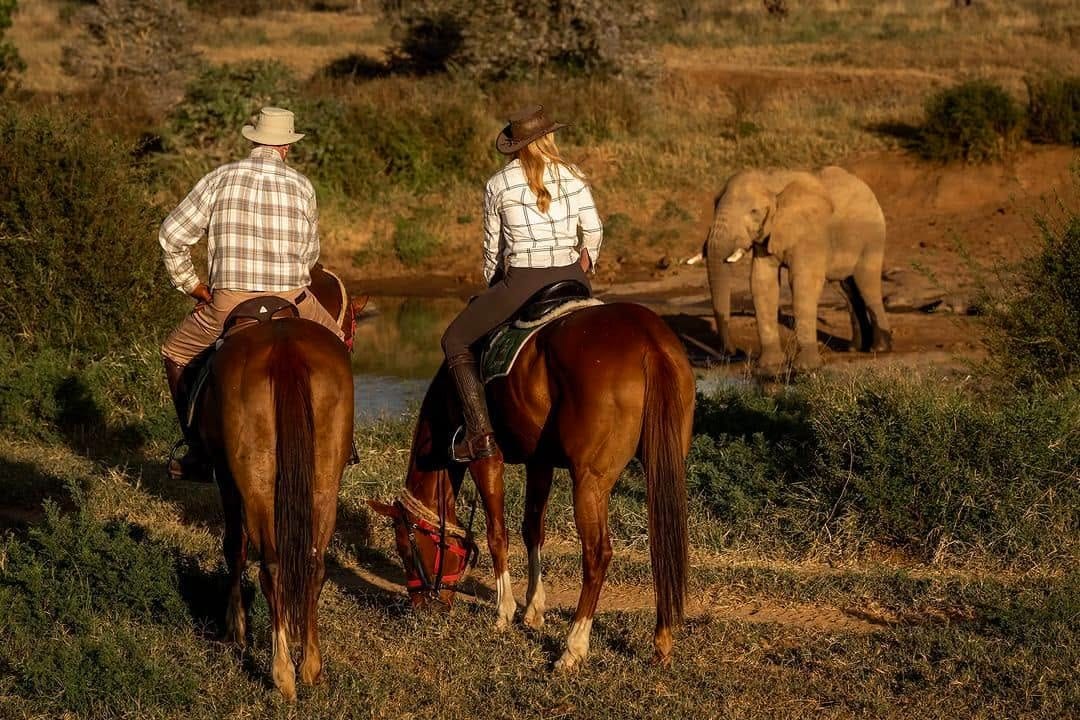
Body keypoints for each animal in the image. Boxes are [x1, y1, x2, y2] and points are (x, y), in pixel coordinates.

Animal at [196, 267, 361, 700]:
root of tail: (284, 346)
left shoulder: (226, 475)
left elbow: (233, 546)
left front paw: (235, 627)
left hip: (255, 482)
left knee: (269, 564)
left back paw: (282, 672)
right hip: (324, 484)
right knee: (314, 562)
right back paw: (311, 666)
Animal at [370, 301, 694, 670]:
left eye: (404, 547)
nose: (421, 608)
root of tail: (647, 340)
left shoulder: (486, 461)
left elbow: (498, 534)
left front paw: (504, 612)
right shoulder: (539, 463)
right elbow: (532, 530)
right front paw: (533, 609)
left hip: (590, 481)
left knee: (597, 554)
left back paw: (573, 646)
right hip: (659, 465)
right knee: (663, 544)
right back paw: (662, 641)